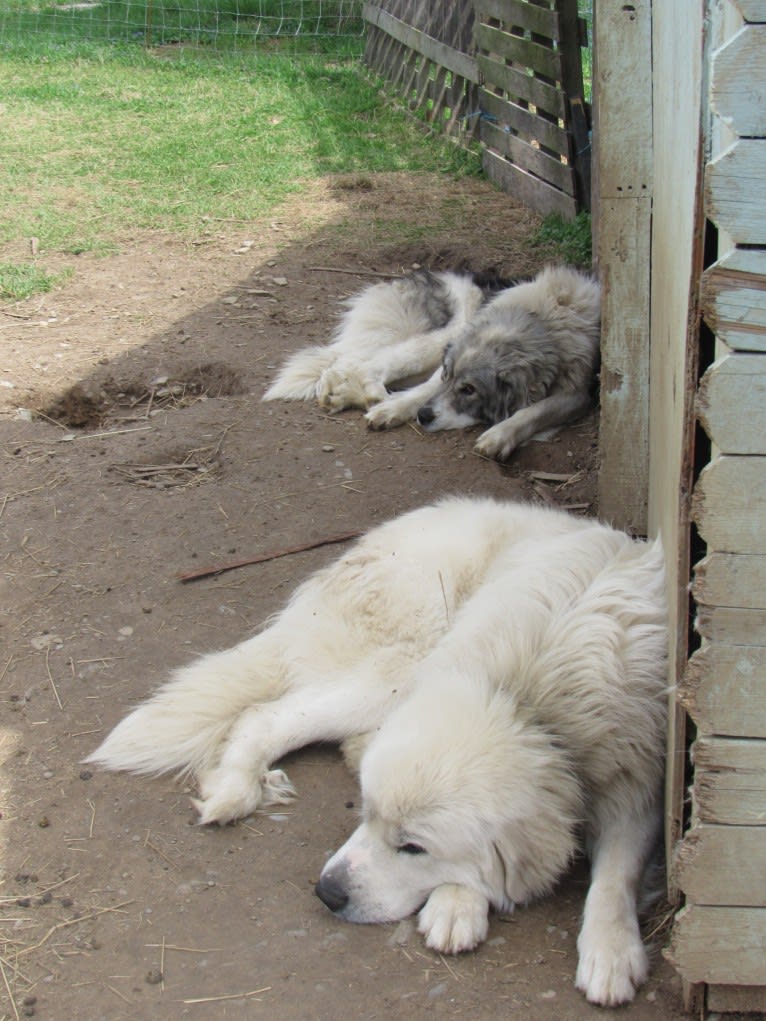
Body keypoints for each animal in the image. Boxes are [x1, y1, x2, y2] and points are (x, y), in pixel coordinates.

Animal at [88, 498, 665, 1008]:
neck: (530, 702)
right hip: (401, 666)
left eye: (413, 847)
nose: (327, 893)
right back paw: (236, 787)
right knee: (267, 716)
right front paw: (459, 903)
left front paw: (611, 951)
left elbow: (615, 877)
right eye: (364, 814)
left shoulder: (639, 789)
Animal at [267, 265, 604, 461]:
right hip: (443, 336)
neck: (545, 319)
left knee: (351, 363)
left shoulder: (577, 394)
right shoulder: (446, 364)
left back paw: (344, 395)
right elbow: (423, 392)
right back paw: (371, 395)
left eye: (470, 390)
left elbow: (532, 412)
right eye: (452, 379)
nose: (424, 417)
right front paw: (393, 410)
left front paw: (499, 435)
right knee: (366, 364)